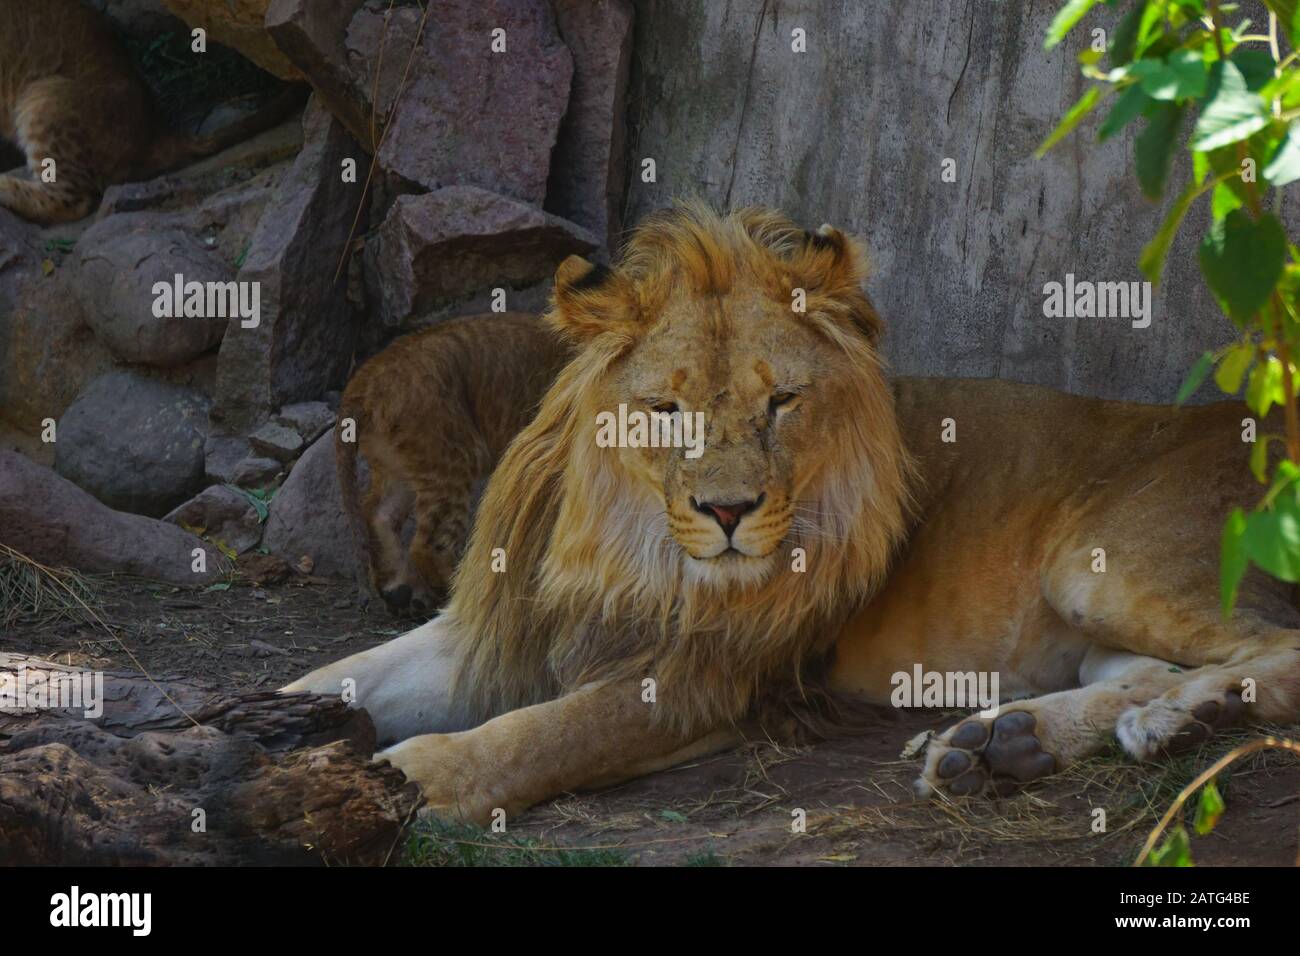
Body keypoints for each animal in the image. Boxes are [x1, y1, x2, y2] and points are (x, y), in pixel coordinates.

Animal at [338, 314, 572, 613]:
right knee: (428, 546)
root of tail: (363, 382)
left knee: (378, 512)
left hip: (399, 465)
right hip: (451, 457)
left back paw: (403, 593)